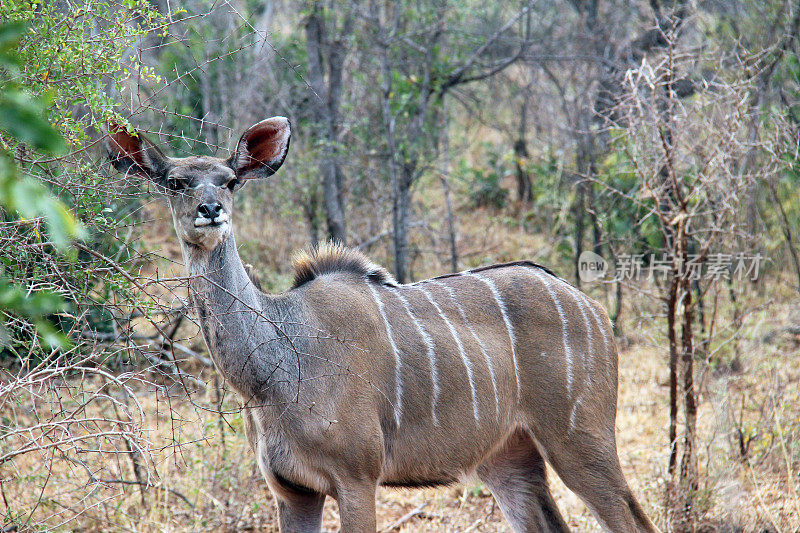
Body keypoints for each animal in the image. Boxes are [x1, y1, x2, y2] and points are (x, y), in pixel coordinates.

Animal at [106, 117, 656, 532]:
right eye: (176, 182)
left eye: (230, 180)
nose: (211, 210)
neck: (277, 362)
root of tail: (592, 309)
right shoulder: (292, 491)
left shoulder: (357, 478)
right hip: (508, 457)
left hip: (579, 438)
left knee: (630, 519)